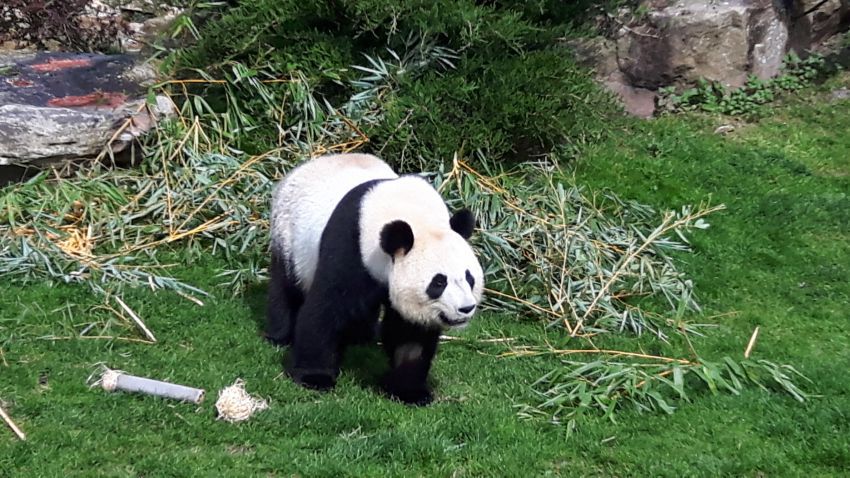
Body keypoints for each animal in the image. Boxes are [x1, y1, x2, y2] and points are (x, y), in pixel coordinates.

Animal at [265, 153, 485, 405]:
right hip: (289, 238)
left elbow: (410, 333)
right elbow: (325, 309)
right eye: (439, 282)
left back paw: (362, 337)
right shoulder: (351, 247)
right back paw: (280, 335)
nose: (466, 308)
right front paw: (314, 377)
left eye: (469, 278)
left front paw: (409, 391)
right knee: (286, 287)